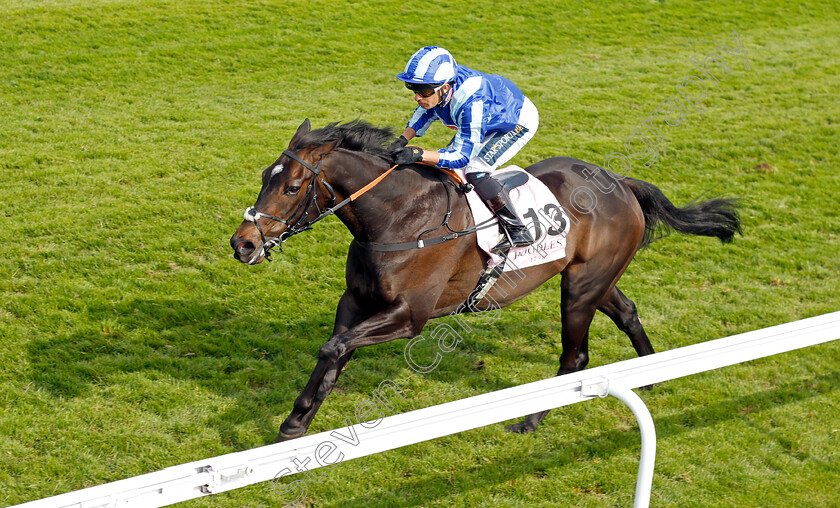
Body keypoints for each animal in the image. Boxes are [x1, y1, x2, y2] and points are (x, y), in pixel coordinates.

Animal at [230, 119, 740, 440]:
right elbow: (334, 350)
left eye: (292, 187)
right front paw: (296, 422)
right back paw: (650, 375)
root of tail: (620, 182)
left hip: (580, 289)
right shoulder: (355, 301)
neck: (398, 218)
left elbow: (334, 347)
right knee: (628, 313)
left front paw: (296, 420)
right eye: (264, 176)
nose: (243, 244)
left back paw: (530, 422)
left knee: (574, 356)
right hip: (593, 276)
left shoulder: (410, 315)